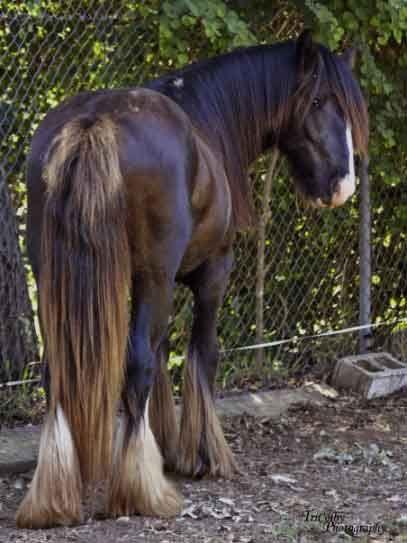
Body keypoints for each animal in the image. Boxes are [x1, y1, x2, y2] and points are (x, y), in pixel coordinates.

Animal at [17, 29, 370, 528]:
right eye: (319, 100)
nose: (342, 184)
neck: (205, 120)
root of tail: (92, 124)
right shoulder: (209, 275)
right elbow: (201, 354)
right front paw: (203, 456)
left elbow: (164, 352)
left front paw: (163, 448)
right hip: (154, 278)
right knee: (136, 365)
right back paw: (140, 494)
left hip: (57, 282)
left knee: (59, 373)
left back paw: (55, 496)